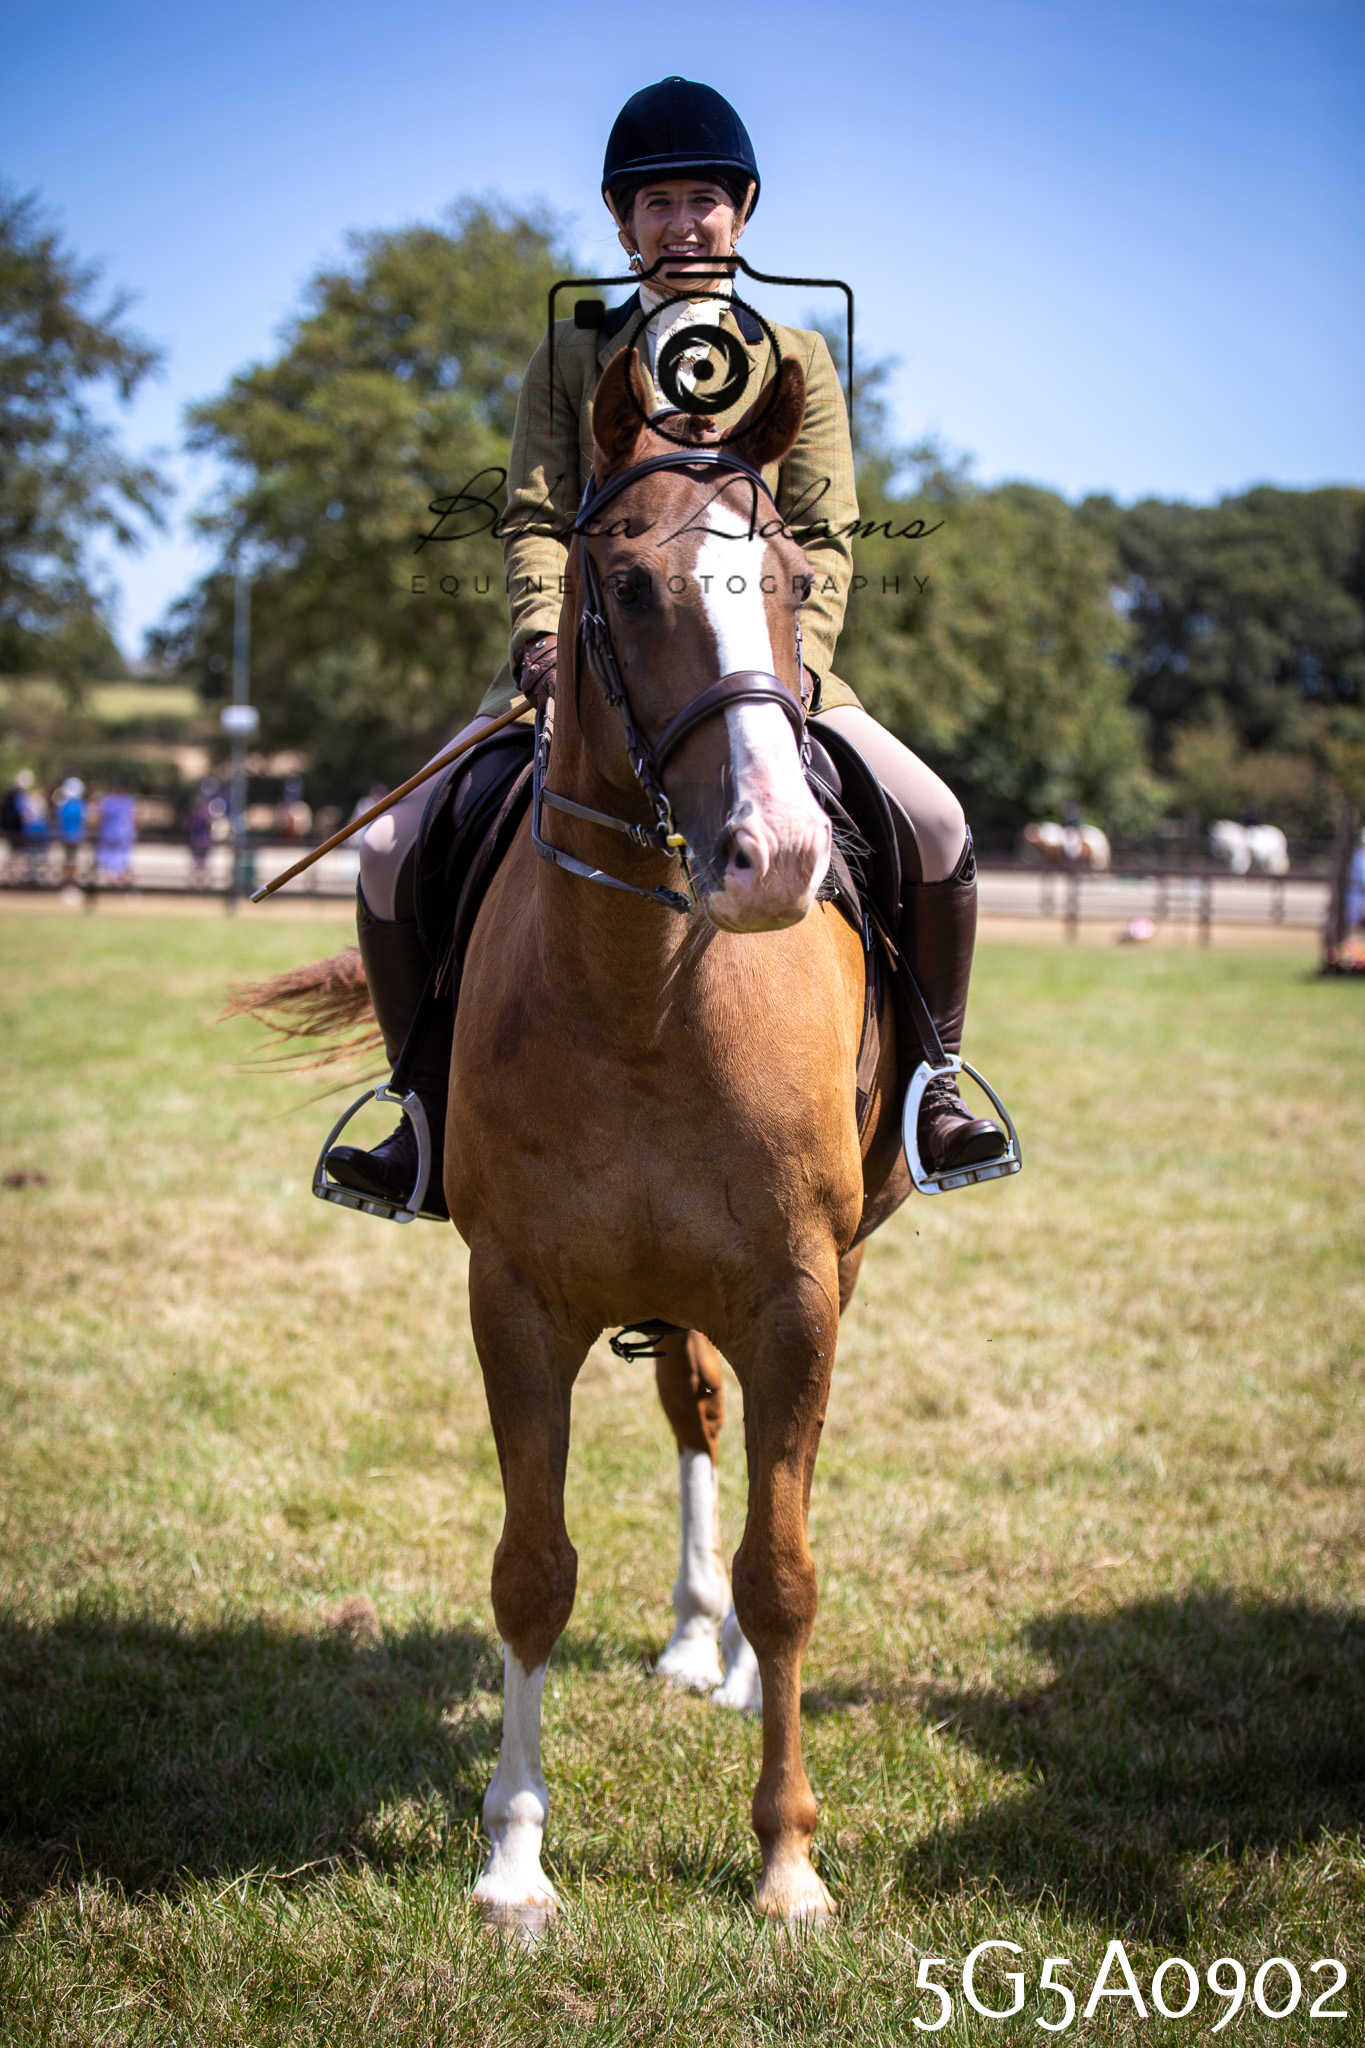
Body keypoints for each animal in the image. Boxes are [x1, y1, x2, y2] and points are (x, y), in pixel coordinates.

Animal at [247, 346, 910, 1930]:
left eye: (795, 576)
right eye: (628, 585)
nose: (777, 860)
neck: (645, 990)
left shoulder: (797, 1291)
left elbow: (788, 1567)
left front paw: (788, 1864)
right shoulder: (516, 1298)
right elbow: (532, 1569)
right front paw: (511, 1859)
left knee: (738, 1454)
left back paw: (721, 1658)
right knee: (692, 1416)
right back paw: (686, 1639)